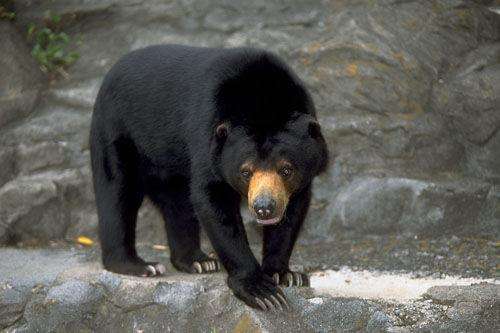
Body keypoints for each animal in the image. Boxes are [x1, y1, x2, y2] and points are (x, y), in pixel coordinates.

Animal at [90, 43, 328, 308]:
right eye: (246, 171)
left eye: (286, 169)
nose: (264, 207)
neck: (263, 98)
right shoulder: (208, 135)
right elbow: (214, 202)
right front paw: (263, 292)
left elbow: (292, 212)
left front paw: (285, 275)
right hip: (117, 131)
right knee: (118, 193)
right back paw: (140, 266)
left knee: (178, 204)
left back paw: (198, 261)